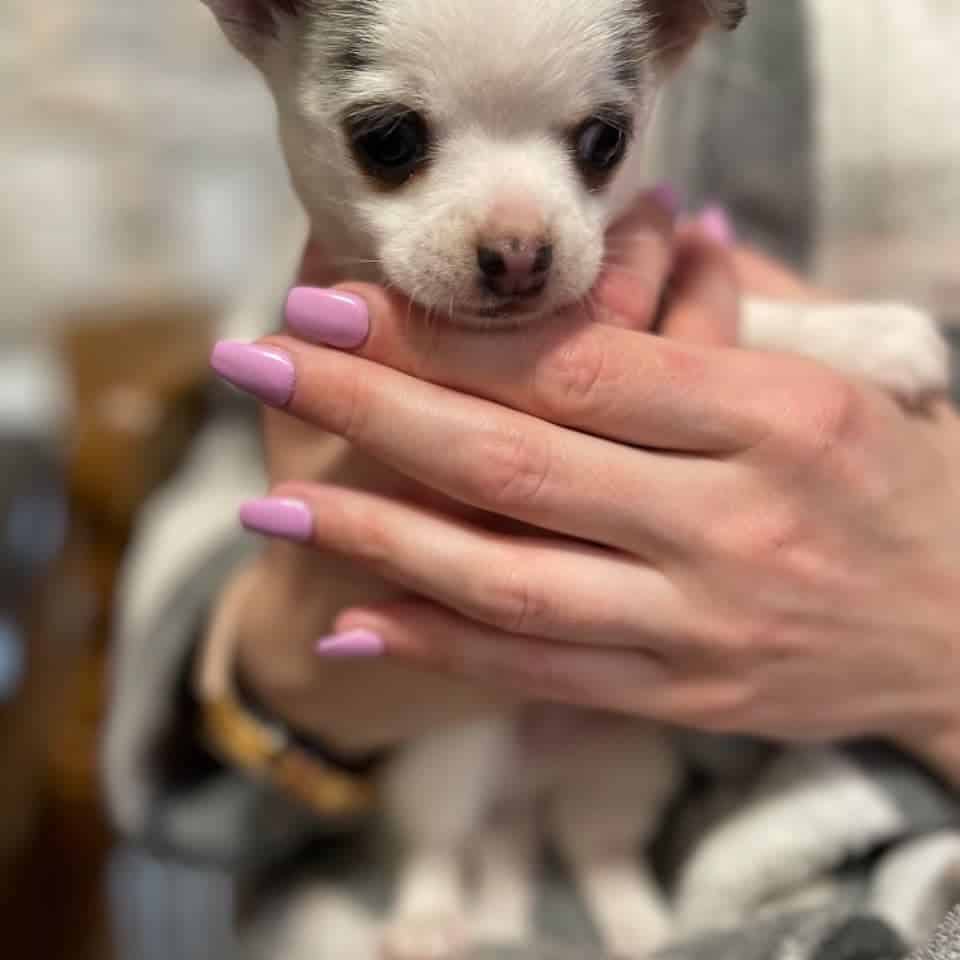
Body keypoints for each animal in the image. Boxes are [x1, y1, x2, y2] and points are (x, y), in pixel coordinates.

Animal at [199, 3, 948, 956]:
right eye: (390, 140)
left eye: (604, 141)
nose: (520, 252)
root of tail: (531, 779)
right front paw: (876, 337)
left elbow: (711, 330)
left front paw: (861, 335)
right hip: (450, 754)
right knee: (445, 844)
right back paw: (432, 921)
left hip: (618, 763)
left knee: (595, 854)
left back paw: (642, 928)